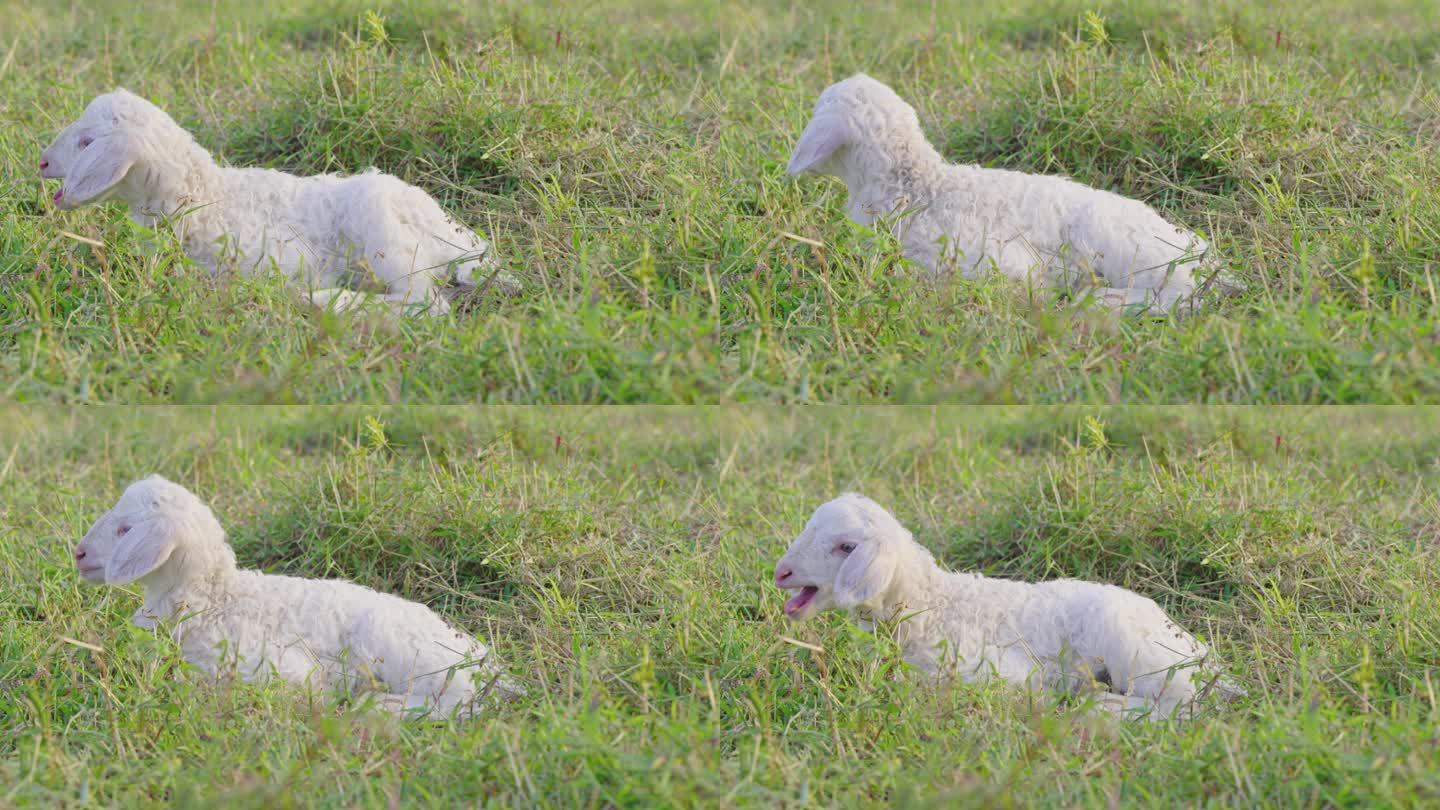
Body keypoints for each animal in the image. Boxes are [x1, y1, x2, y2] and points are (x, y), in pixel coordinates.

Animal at [36, 89, 521, 314]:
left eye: (87, 142)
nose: (41, 162)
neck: (207, 196)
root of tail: (464, 241)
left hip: (386, 235)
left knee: (426, 303)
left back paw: (327, 301)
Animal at [71, 472, 524, 711]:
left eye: (125, 529)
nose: (78, 553)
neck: (214, 598)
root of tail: (484, 660)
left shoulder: (269, 665)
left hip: (410, 656)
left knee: (461, 705)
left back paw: (381, 708)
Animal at [771, 495, 1232, 714]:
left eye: (845, 547)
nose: (781, 573)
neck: (932, 603)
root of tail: (1200, 652)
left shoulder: (988, 667)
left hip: (1137, 651)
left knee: (1182, 706)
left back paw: (1105, 706)